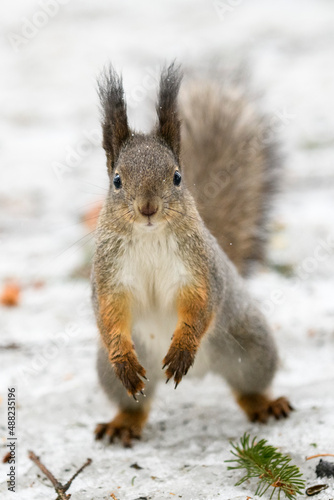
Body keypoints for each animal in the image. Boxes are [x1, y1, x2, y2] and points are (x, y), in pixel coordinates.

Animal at [91, 62, 292, 450]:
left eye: (177, 177)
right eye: (117, 180)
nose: (148, 207)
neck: (150, 238)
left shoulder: (199, 270)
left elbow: (200, 304)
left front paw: (183, 348)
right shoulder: (109, 276)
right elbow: (108, 312)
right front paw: (123, 358)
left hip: (252, 347)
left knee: (248, 386)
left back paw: (264, 404)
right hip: (109, 373)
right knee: (133, 400)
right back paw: (123, 422)